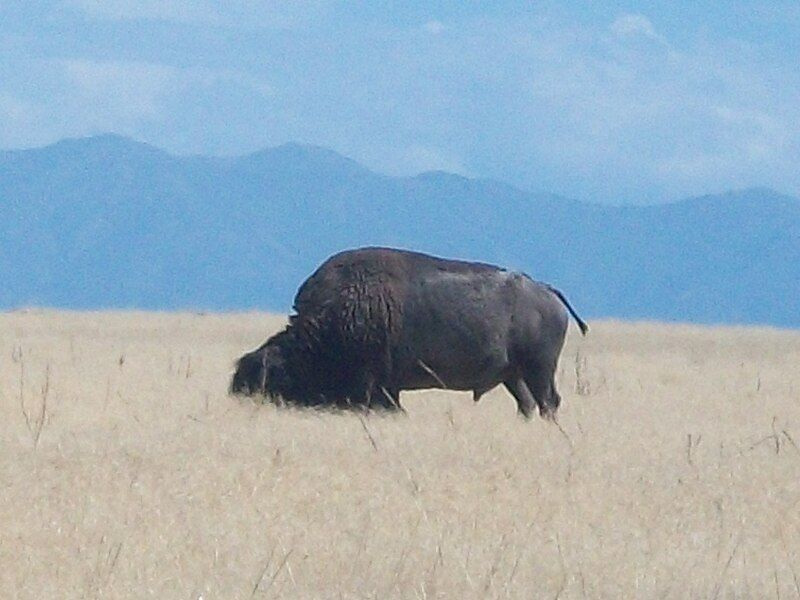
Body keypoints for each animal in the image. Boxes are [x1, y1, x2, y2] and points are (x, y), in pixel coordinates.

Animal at [231, 246, 588, 420]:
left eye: (273, 376)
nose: (241, 395)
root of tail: (546, 291)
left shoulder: (377, 386)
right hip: (514, 375)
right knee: (528, 404)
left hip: (538, 369)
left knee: (548, 402)